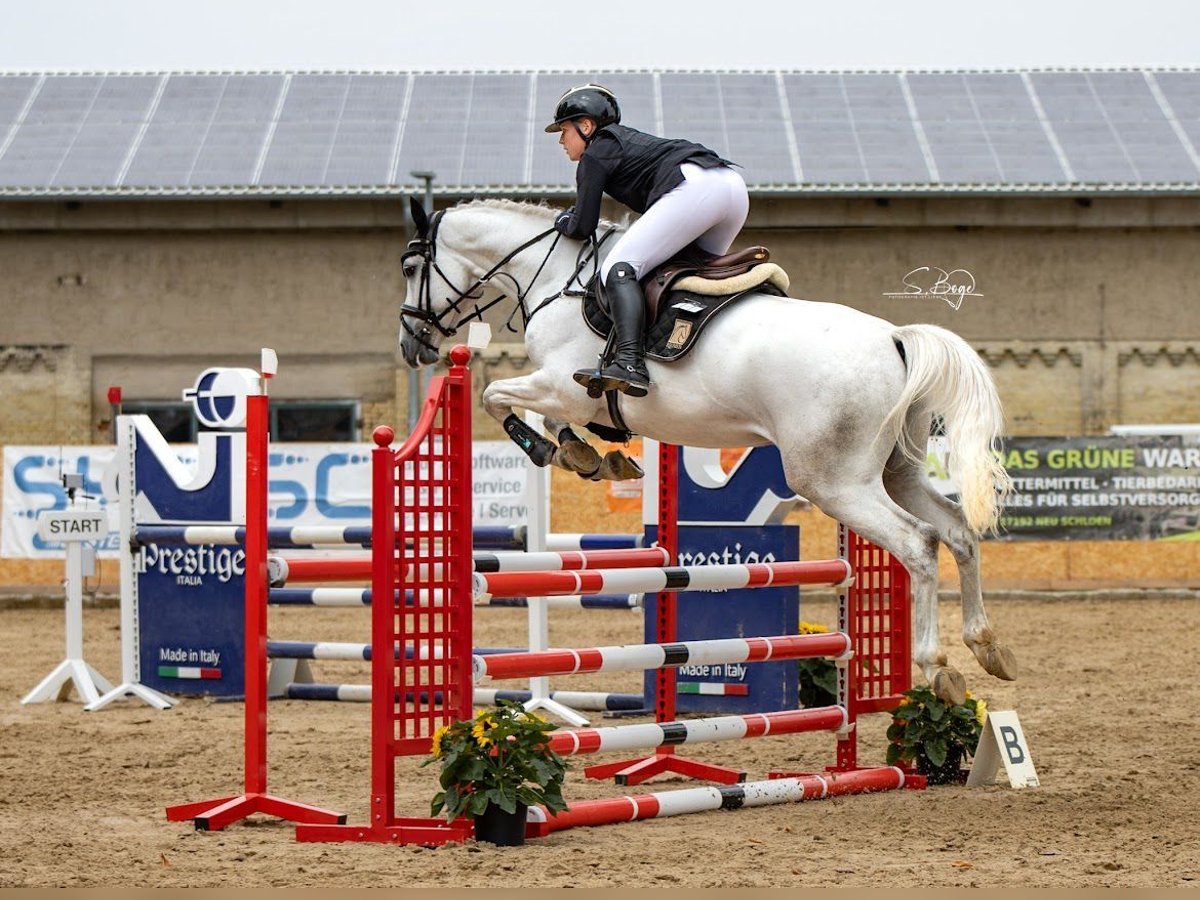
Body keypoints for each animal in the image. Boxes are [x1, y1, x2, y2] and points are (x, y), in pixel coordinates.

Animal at [398, 196, 1017, 705]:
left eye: (409, 269)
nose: (411, 345)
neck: (551, 276)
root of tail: (893, 337)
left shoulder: (561, 384)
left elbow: (495, 396)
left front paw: (556, 451)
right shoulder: (568, 392)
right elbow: (556, 420)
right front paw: (593, 456)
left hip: (836, 482)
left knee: (919, 544)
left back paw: (937, 666)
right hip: (895, 473)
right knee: (959, 532)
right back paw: (987, 646)